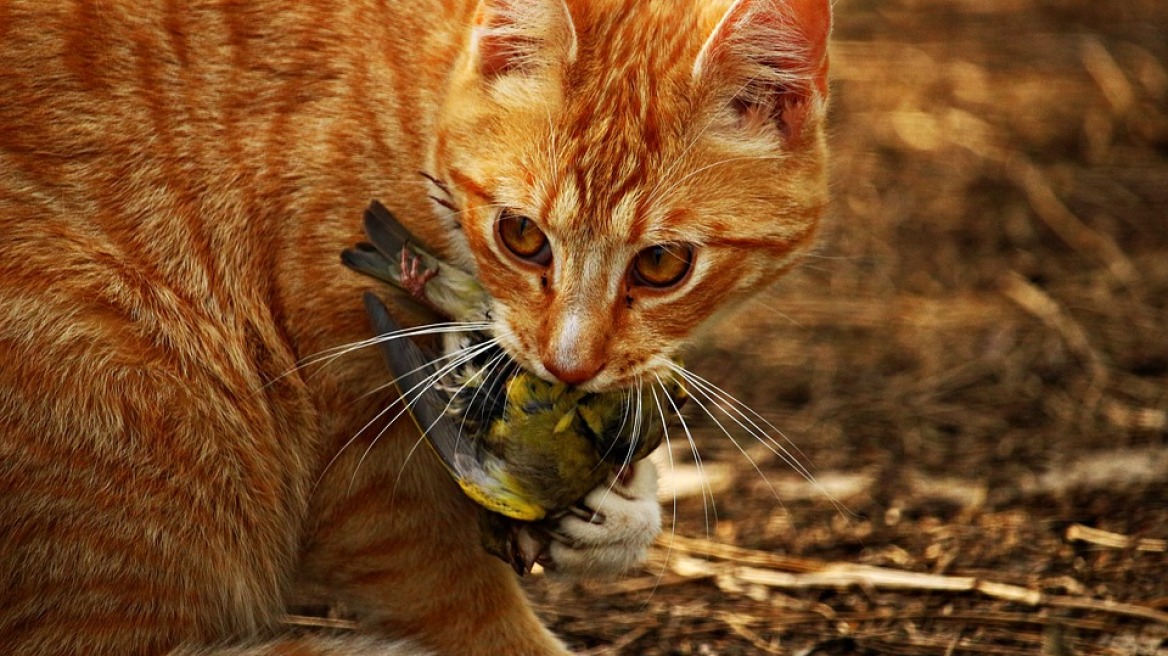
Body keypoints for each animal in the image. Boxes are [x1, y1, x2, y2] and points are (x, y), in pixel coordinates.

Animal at [0, 0, 831, 648]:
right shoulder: (366, 481)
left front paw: (623, 510)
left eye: (661, 263)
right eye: (521, 235)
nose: (567, 366)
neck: (420, 110)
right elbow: (476, 613)